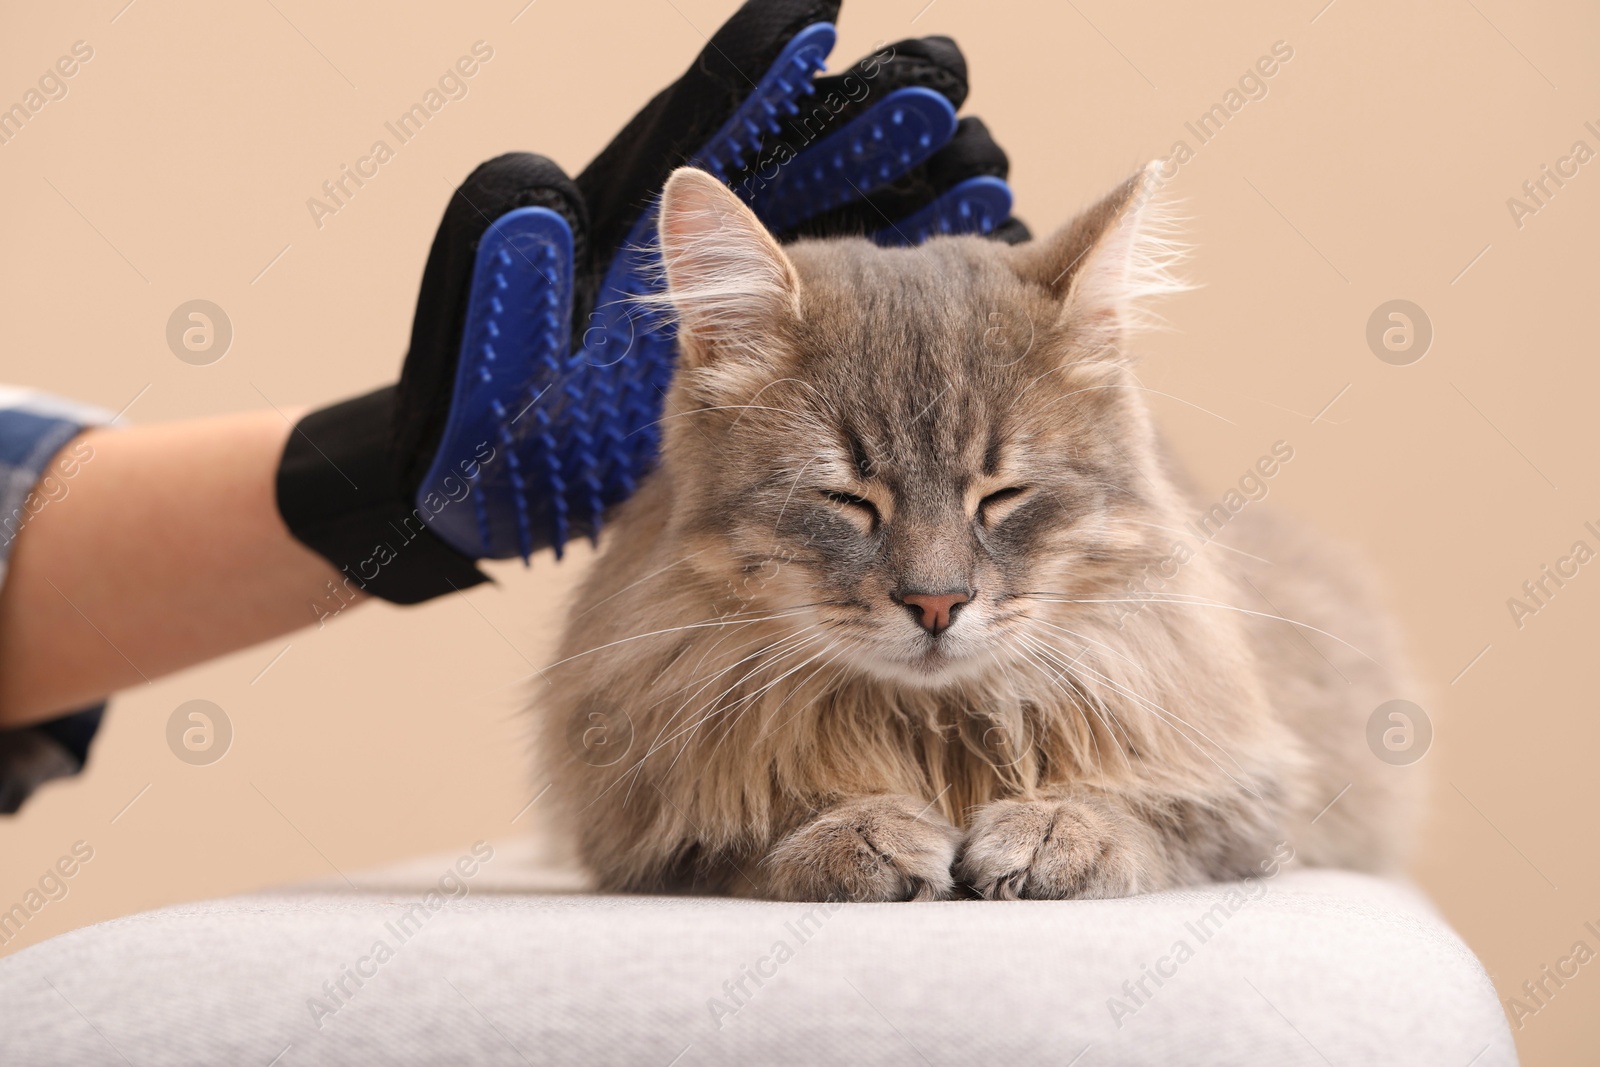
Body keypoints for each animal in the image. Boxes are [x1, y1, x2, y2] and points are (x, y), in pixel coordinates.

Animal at [537, 164, 1427, 902]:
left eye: (1002, 496)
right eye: (846, 498)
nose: (937, 603)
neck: (934, 723)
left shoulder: (1248, 790)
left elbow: (1145, 809)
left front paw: (1054, 827)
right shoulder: (643, 820)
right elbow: (751, 828)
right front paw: (861, 828)